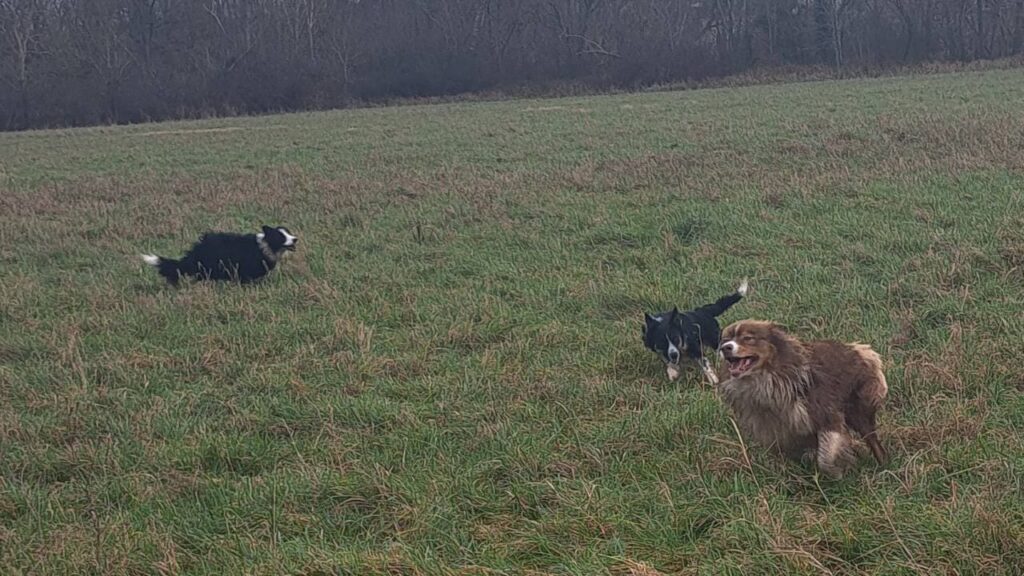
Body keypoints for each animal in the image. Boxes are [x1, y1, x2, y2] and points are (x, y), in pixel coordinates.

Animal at [712, 317, 888, 475]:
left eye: (748, 338)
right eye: (725, 340)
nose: (725, 348)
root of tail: (861, 349)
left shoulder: (826, 416)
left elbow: (825, 458)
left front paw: (839, 470)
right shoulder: (782, 434)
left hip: (858, 410)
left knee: (872, 439)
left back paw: (884, 464)